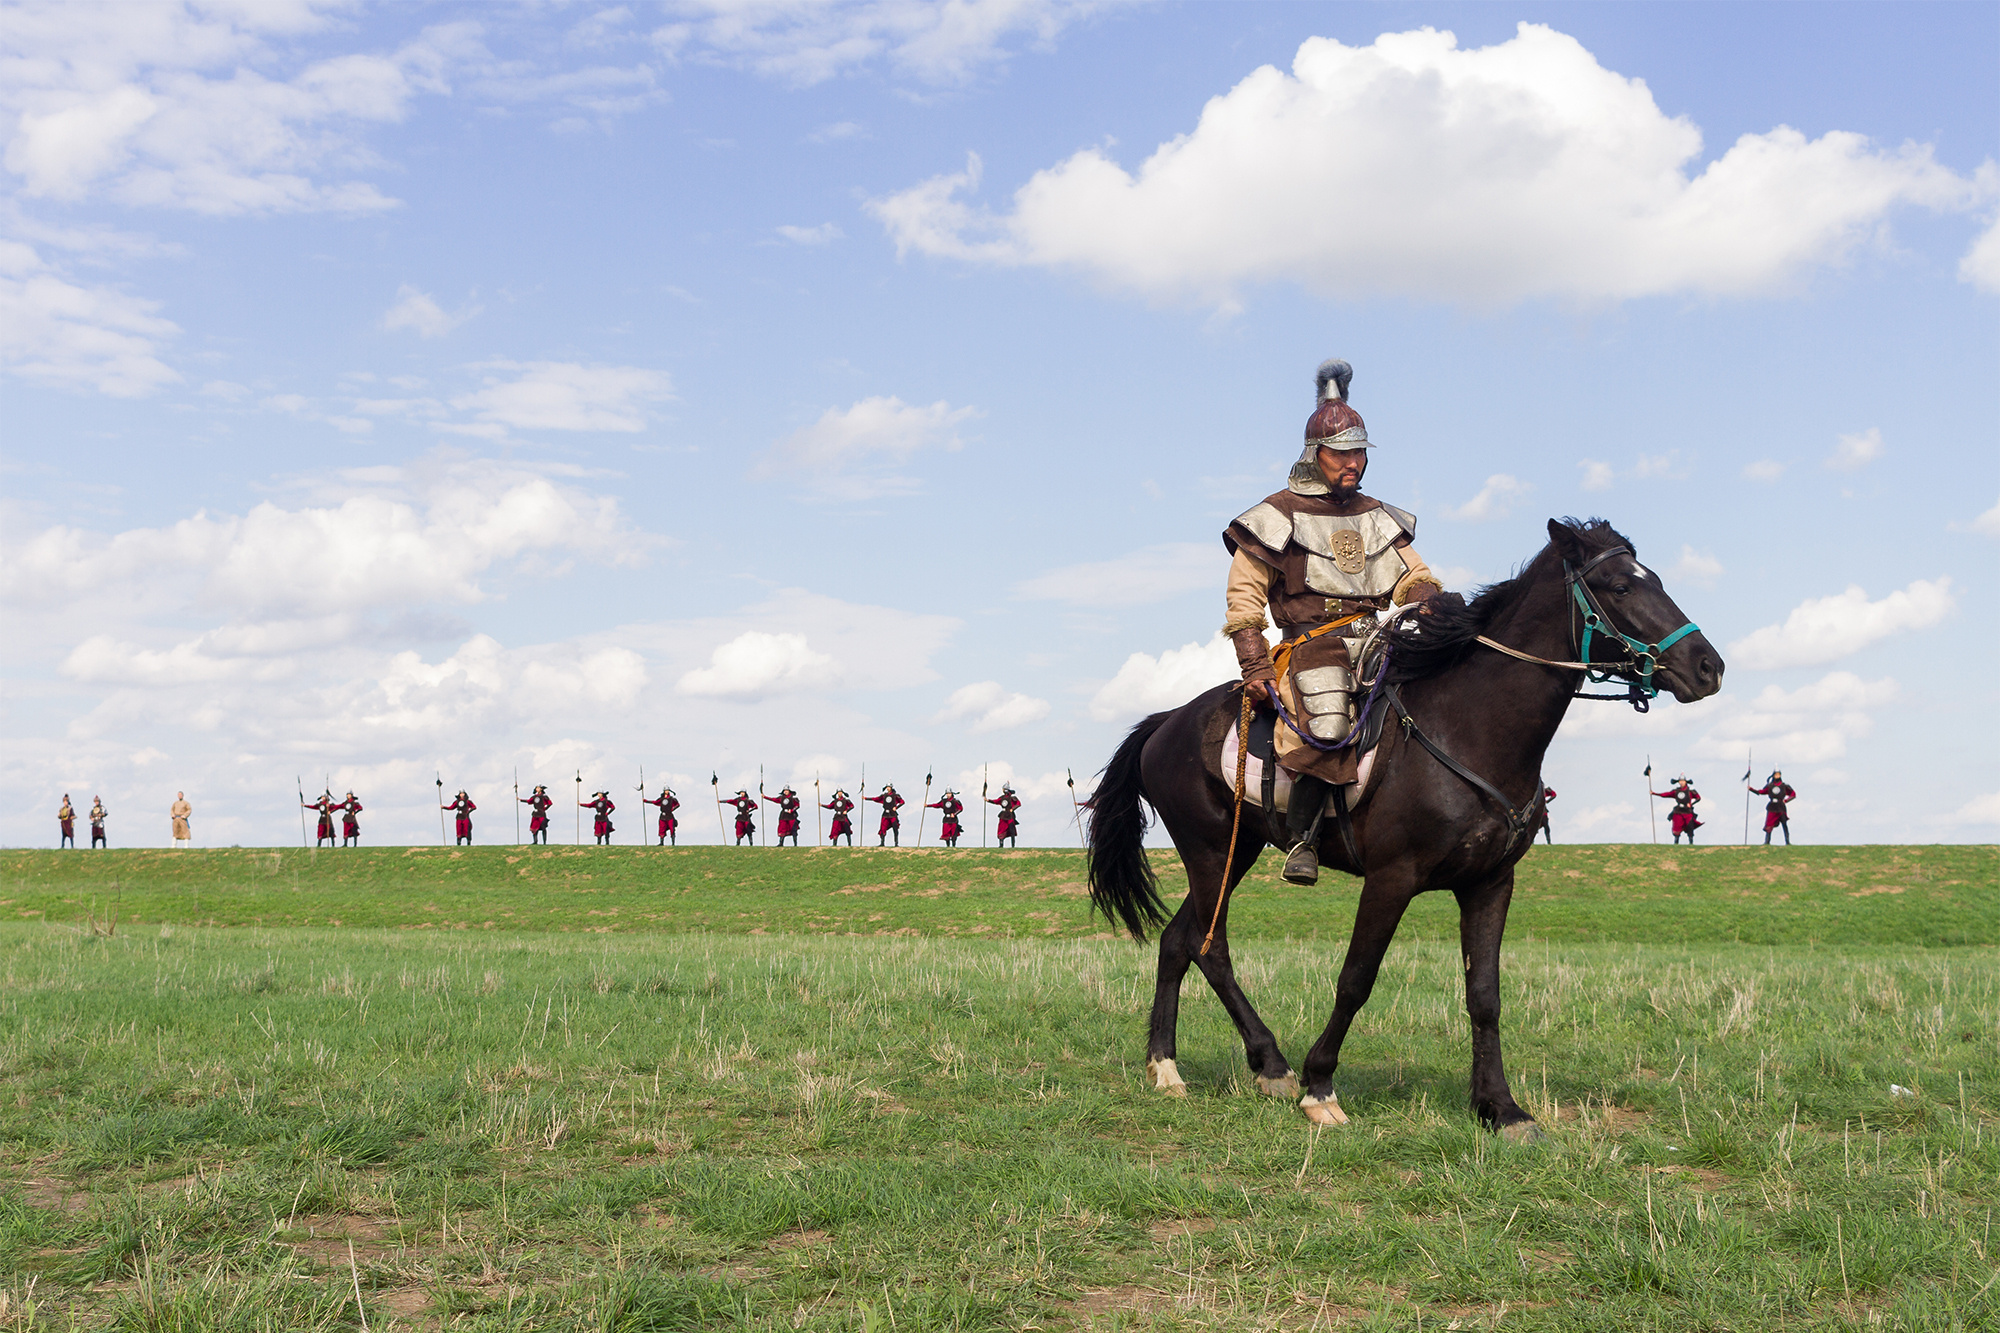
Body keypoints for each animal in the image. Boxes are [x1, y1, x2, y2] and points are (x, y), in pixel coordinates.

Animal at [1088, 512, 1728, 1136]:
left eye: (1656, 580)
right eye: (1620, 587)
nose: (1708, 667)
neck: (1470, 726)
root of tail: (1170, 720)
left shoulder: (1490, 884)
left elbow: (1484, 994)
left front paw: (1501, 1108)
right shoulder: (1391, 879)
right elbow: (1356, 979)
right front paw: (1320, 1087)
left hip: (1236, 851)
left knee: (1179, 940)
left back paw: (1171, 1066)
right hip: (1211, 851)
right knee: (1209, 944)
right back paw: (1267, 1066)